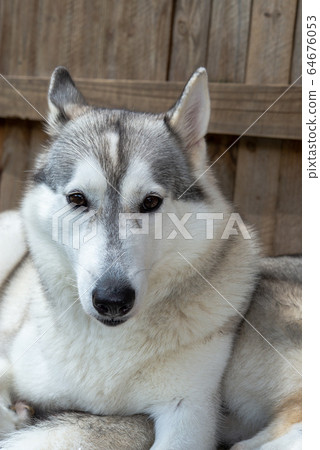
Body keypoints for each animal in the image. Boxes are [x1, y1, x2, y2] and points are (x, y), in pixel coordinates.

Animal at [0, 67, 300, 450]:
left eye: (151, 202)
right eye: (77, 198)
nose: (112, 300)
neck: (107, 345)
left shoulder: (188, 410)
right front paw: (16, 415)